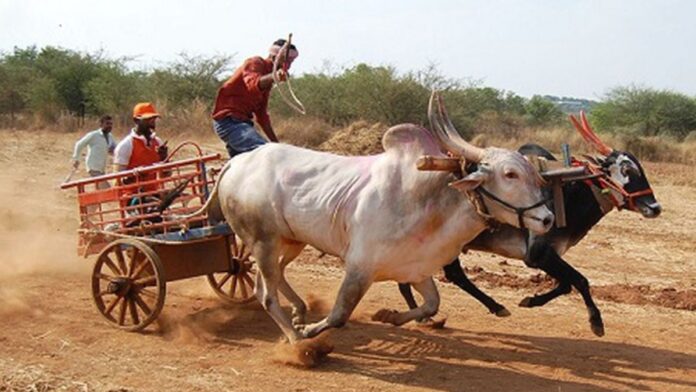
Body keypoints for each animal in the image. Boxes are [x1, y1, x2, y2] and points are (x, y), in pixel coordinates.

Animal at [215, 92, 552, 344]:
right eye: (510, 174)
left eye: (533, 172)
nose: (547, 219)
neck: (429, 202)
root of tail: (238, 162)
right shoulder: (359, 266)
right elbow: (339, 314)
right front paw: (310, 331)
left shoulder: (416, 268)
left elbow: (432, 304)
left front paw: (388, 316)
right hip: (262, 241)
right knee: (265, 293)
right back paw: (297, 340)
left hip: (290, 241)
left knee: (278, 276)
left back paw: (299, 310)